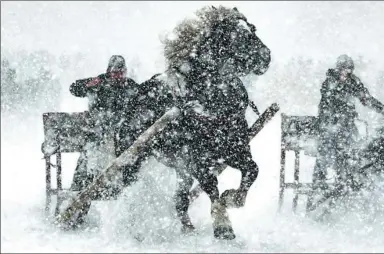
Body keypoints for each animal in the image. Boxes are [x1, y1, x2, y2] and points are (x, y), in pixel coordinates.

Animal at [115, 5, 272, 240]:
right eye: (232, 36)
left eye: (252, 29)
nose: (266, 57)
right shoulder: (198, 160)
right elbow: (212, 187)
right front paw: (223, 225)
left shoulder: (234, 150)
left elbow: (252, 170)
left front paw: (233, 198)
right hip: (135, 159)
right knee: (125, 187)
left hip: (182, 169)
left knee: (180, 198)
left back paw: (187, 227)